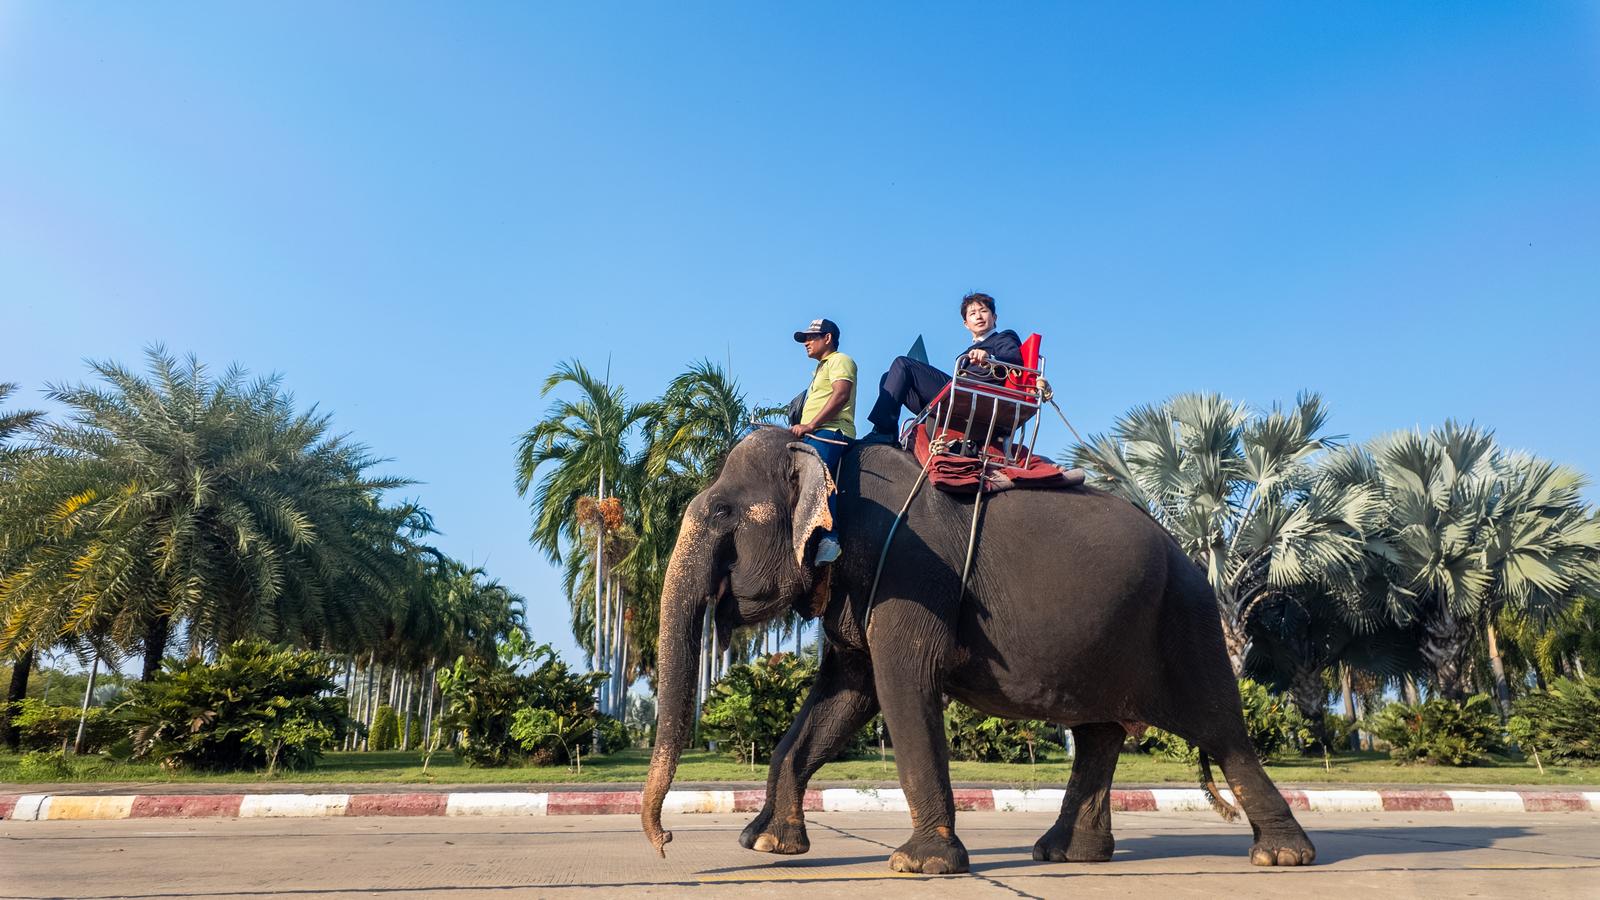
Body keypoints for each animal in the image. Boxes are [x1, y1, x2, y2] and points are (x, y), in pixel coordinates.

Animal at [641, 428, 1316, 874]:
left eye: (722, 511)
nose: (666, 842)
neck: (832, 461)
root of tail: (1191, 556)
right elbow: (843, 698)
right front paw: (766, 845)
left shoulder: (910, 575)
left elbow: (901, 688)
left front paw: (920, 865)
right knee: (1099, 735)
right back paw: (1067, 855)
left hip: (1186, 622)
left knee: (1220, 730)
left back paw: (1282, 855)